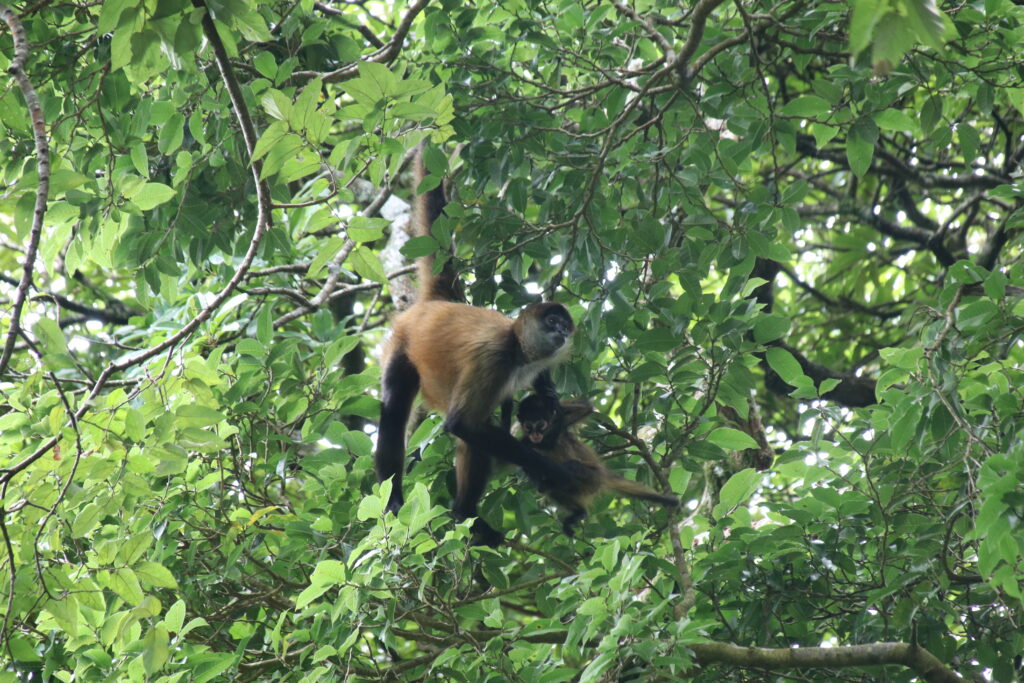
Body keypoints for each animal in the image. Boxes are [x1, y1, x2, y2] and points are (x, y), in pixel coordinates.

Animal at [374, 146, 576, 547]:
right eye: (552, 323)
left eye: (564, 325)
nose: (562, 330)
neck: (517, 348)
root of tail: (438, 304)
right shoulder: (493, 358)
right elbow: (461, 423)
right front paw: (550, 469)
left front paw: (551, 404)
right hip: (402, 344)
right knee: (397, 409)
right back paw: (413, 505)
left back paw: (468, 515)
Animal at [517, 394, 680, 536]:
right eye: (528, 427)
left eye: (541, 425)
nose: (535, 434)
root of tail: (603, 475)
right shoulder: (525, 441)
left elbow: (584, 408)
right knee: (552, 490)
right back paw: (576, 510)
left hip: (591, 477)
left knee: (572, 466)